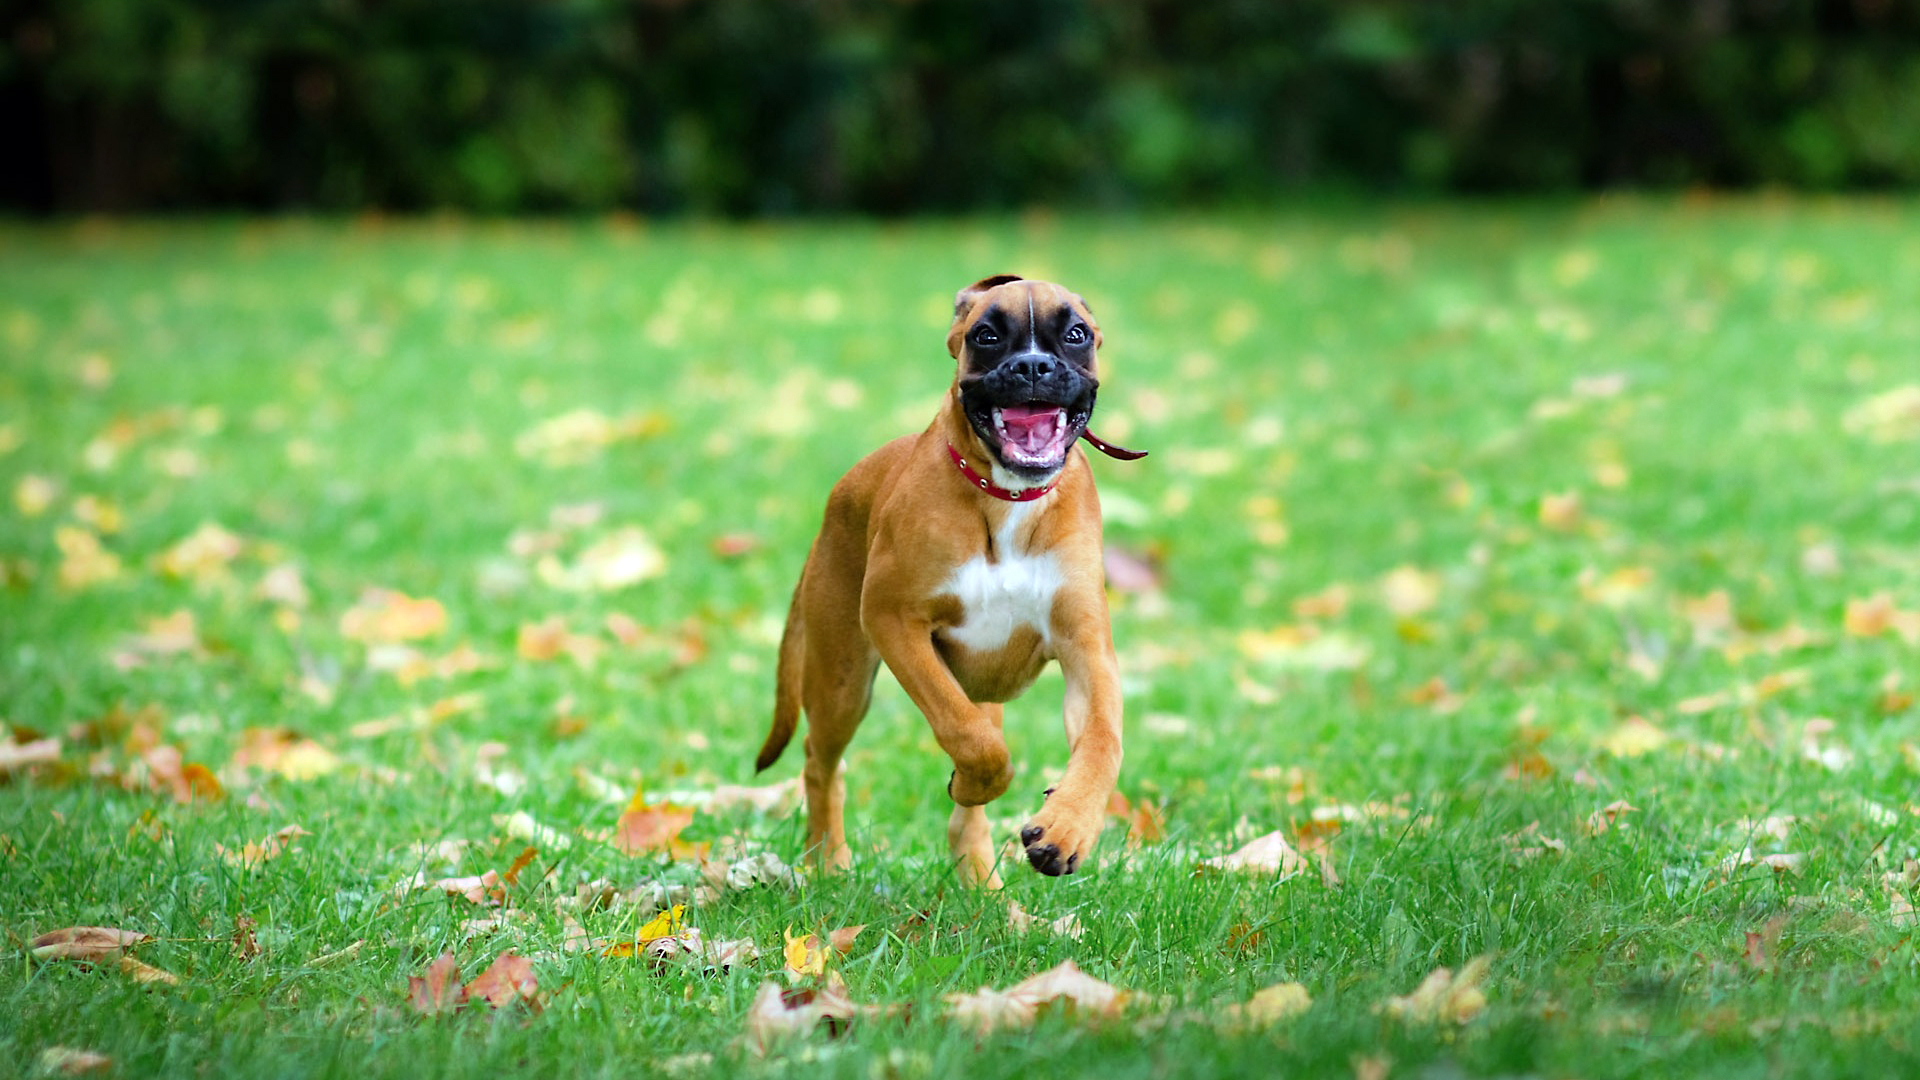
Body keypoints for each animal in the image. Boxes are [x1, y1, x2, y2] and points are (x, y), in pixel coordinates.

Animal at [748, 270, 1136, 883]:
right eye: (986, 335)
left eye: (1075, 333)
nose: (1032, 366)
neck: (1007, 497)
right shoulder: (895, 621)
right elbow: (970, 739)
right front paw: (978, 781)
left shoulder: (1086, 648)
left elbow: (1102, 742)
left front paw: (1066, 828)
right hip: (841, 679)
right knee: (820, 761)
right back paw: (828, 861)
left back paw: (979, 877)